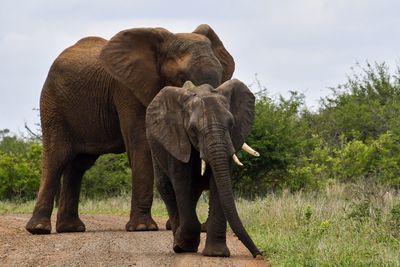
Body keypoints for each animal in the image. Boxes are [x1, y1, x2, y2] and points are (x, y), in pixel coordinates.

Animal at [25, 25, 234, 234]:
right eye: (181, 78)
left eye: (221, 74)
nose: (205, 228)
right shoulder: (127, 91)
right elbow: (142, 144)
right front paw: (143, 228)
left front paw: (176, 226)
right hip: (53, 105)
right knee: (56, 158)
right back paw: (39, 229)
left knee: (78, 165)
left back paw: (71, 228)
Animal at [145, 79, 260, 258]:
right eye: (192, 129)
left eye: (231, 124)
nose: (258, 254)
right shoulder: (177, 138)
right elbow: (182, 183)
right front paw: (183, 246)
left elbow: (218, 184)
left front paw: (216, 254)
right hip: (154, 145)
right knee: (166, 187)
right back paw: (178, 243)